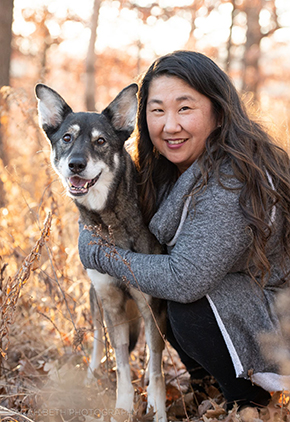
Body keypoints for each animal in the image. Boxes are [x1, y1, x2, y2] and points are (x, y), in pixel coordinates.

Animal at [35, 83, 167, 422]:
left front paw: (158, 409)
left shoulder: (150, 304)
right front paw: (123, 407)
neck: (109, 221)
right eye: (67, 138)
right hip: (95, 301)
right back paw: (90, 376)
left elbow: (157, 367)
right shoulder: (111, 303)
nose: (76, 164)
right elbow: (121, 366)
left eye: (101, 141)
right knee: (97, 340)